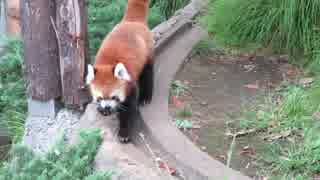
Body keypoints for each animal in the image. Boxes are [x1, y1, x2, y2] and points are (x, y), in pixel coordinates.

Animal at [86, 0, 154, 143]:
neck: (107, 64)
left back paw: (146, 97)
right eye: (100, 97)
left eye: (114, 97)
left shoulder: (130, 85)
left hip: (148, 52)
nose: (107, 108)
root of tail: (132, 21)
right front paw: (102, 111)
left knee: (148, 73)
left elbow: (127, 111)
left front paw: (124, 133)